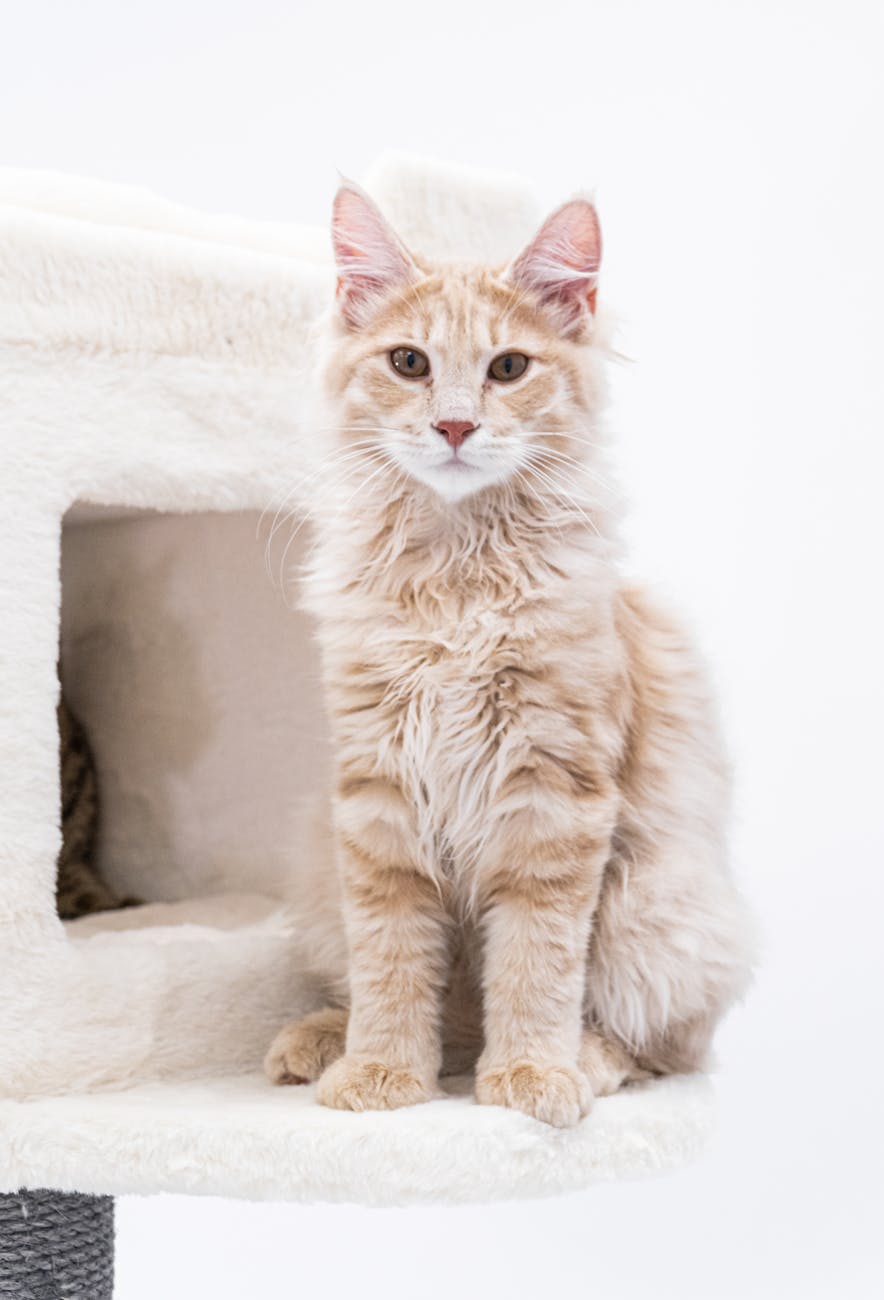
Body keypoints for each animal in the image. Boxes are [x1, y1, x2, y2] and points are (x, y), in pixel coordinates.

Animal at [263, 180, 754, 1128]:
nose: (455, 425)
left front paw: (530, 1075)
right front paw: (382, 1070)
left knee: (664, 1048)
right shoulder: (377, 798)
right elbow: (391, 961)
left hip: (660, 908)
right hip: (315, 857)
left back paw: (584, 1061)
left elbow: (535, 964)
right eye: (409, 363)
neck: (456, 575)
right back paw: (322, 1041)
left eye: (508, 369)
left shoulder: (554, 795)